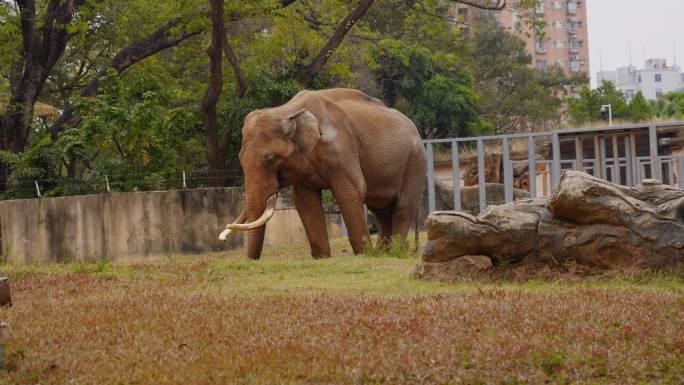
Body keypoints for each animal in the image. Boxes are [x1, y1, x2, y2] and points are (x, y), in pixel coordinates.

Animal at [219, 88, 424, 260]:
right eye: (240, 159)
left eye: (270, 159)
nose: (252, 260)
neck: (288, 111)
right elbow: (306, 202)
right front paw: (322, 257)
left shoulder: (343, 150)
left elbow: (351, 191)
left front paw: (364, 254)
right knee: (381, 210)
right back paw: (385, 253)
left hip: (414, 162)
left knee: (402, 207)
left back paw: (395, 252)